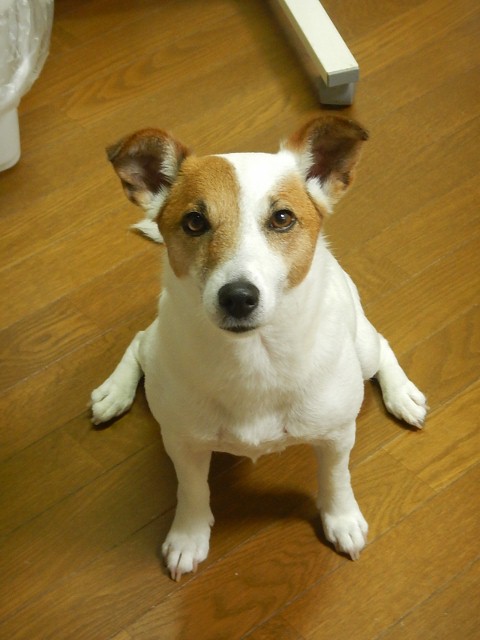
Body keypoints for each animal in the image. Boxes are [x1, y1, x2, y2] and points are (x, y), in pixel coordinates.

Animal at [91, 115, 427, 581]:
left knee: (383, 346)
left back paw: (402, 395)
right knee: (142, 339)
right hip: (158, 349)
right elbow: (191, 488)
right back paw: (114, 392)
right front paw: (189, 536)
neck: (254, 355)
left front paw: (341, 519)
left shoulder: (337, 435)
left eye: (282, 218)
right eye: (194, 222)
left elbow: (336, 478)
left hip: (363, 351)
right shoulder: (181, 440)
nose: (237, 297)